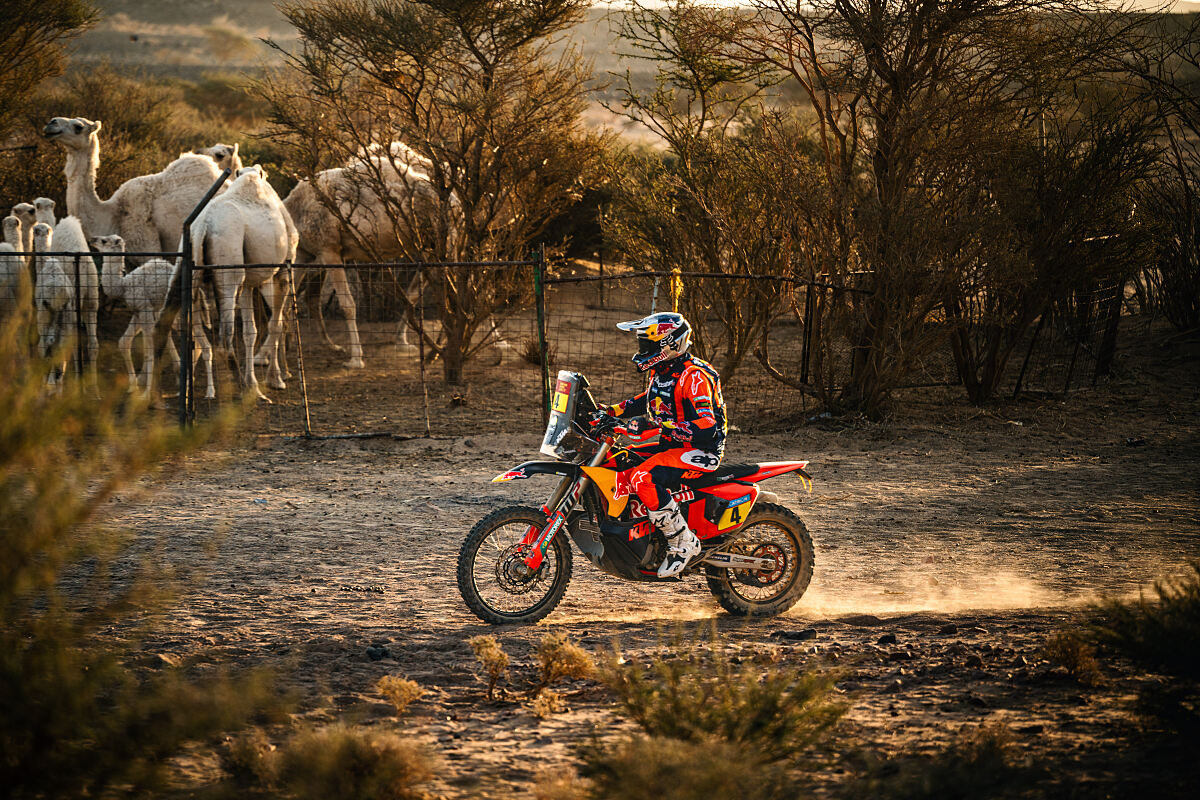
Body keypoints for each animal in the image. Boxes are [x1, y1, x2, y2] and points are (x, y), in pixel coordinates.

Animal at [93, 236, 218, 400]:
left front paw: (146, 394)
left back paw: (209, 392)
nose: (92, 240)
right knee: (196, 343)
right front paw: (133, 386)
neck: (124, 286)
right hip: (180, 317)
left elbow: (149, 350)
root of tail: (200, 292)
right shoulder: (138, 312)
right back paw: (184, 387)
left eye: (104, 241)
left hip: (192, 313)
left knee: (205, 346)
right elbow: (123, 342)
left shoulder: (145, 309)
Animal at [192, 164, 297, 400]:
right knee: (226, 335)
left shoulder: (249, 282)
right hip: (230, 268)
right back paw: (242, 387)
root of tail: (204, 225)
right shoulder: (283, 271)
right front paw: (275, 380)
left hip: (195, 273)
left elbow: (251, 332)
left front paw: (256, 382)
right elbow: (275, 324)